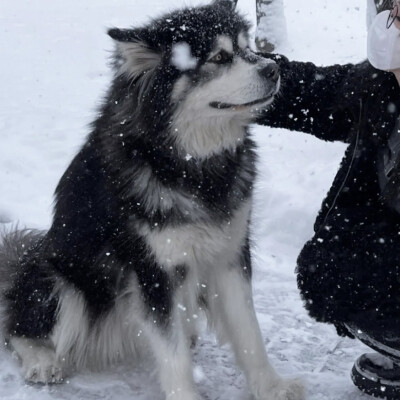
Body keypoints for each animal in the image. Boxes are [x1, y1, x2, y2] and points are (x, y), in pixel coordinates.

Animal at [0, 0, 304, 400]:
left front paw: (270, 386)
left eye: (248, 46)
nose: (273, 68)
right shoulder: (153, 269)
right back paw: (41, 360)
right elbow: (171, 353)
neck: (191, 164)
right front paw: (186, 395)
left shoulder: (229, 254)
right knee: (20, 326)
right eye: (219, 57)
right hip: (58, 278)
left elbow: (248, 331)